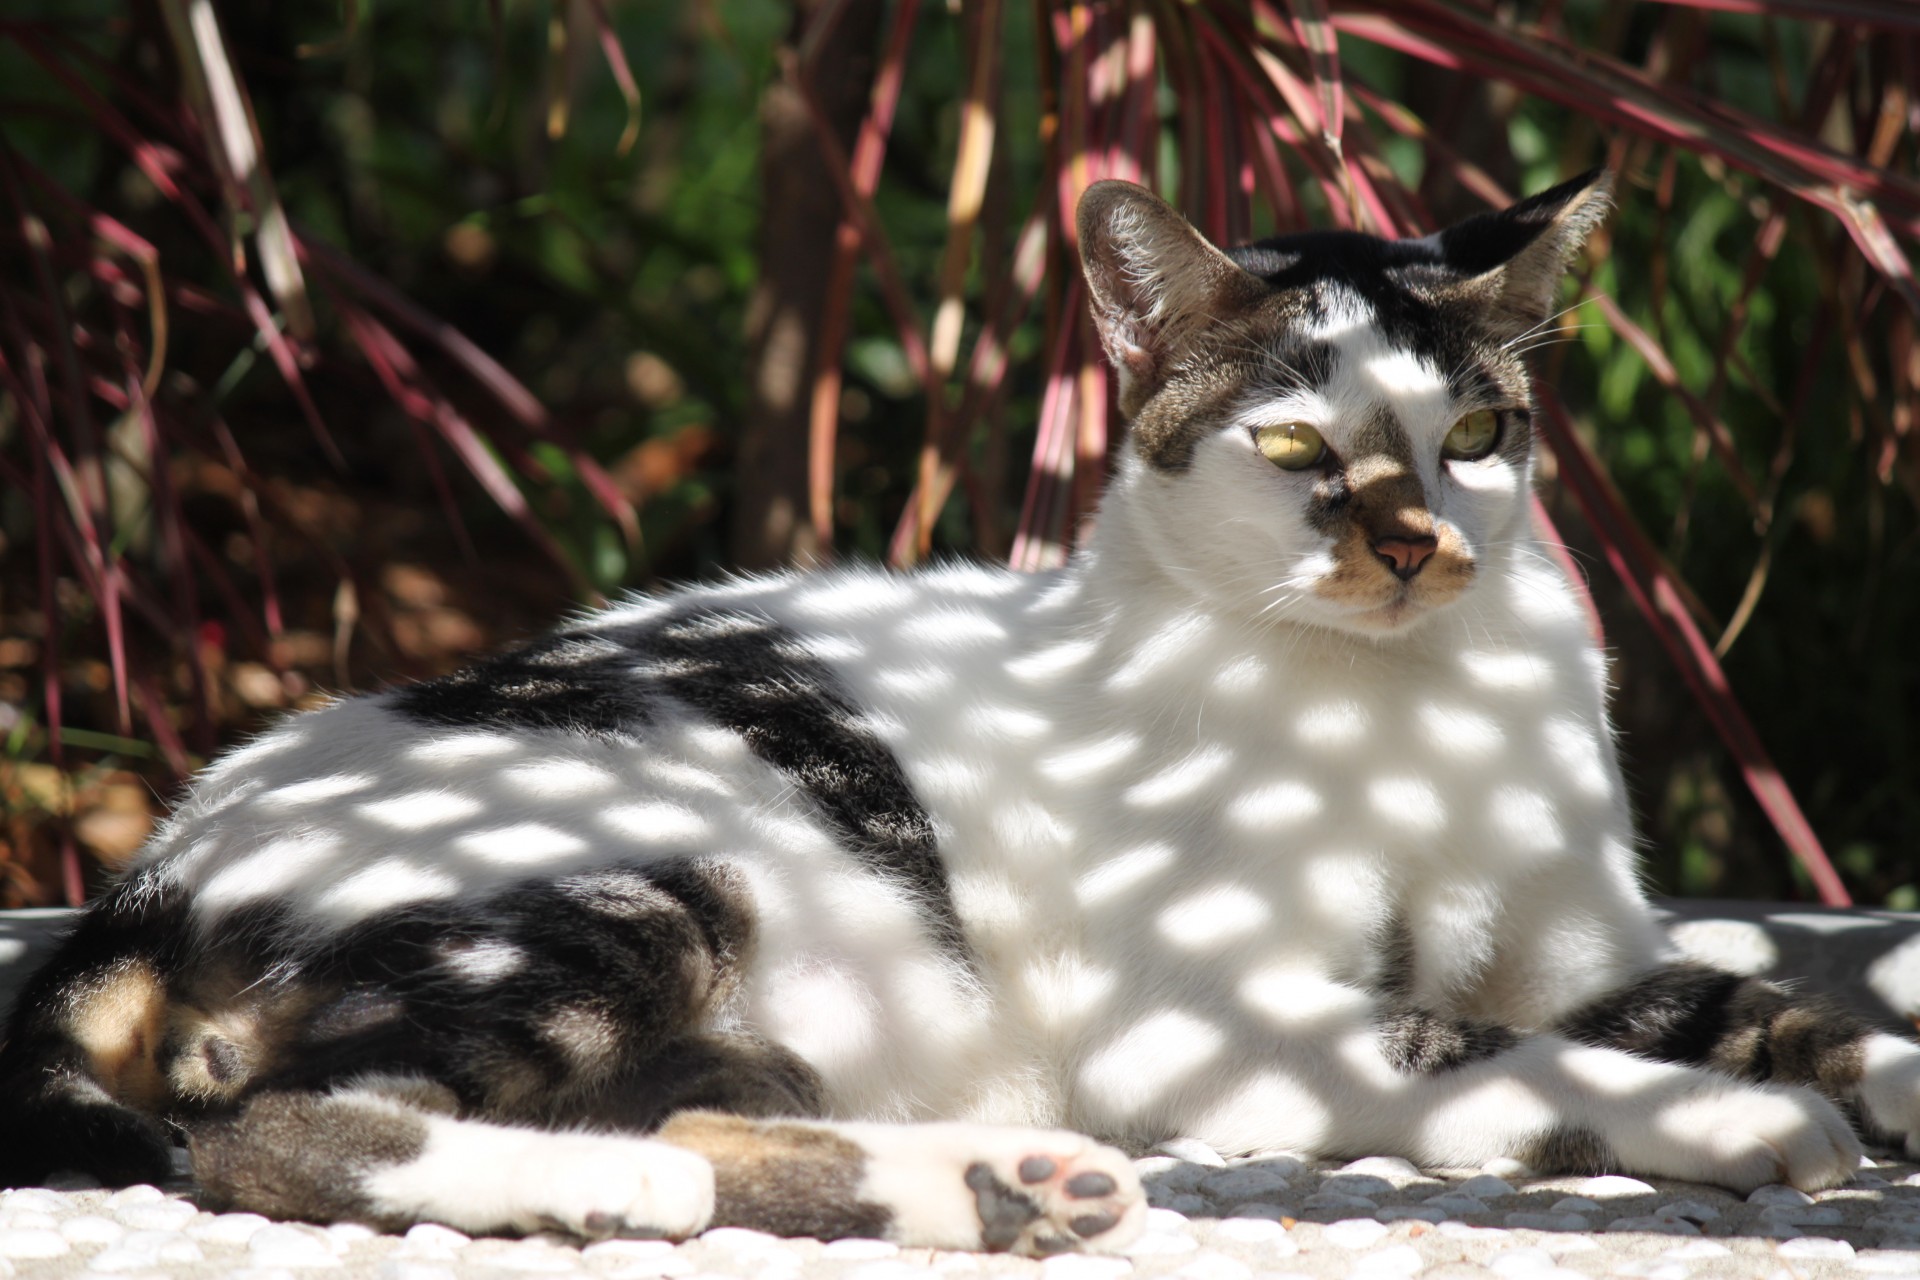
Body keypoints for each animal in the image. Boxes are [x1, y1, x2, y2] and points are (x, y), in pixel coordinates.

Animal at [3, 165, 1920, 1258]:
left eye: (1473, 435)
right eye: (1297, 444)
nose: (1414, 542)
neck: (1410, 701)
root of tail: (147, 865)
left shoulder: (1586, 948)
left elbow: (1756, 1003)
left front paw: (1860, 1067)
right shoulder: (1221, 1028)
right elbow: (1498, 1056)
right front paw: (1740, 1126)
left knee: (666, 1107)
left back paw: (1000, 1187)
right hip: (638, 881)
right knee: (268, 1131)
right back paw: (617, 1199)